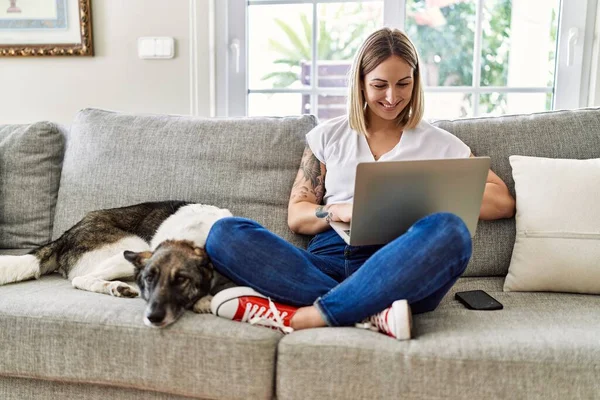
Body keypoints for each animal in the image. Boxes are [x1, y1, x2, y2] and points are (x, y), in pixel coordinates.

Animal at [0, 200, 236, 328]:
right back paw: (116, 287)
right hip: (132, 246)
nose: (153, 316)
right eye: (150, 281)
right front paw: (203, 300)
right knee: (82, 279)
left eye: (181, 281)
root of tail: (65, 236)